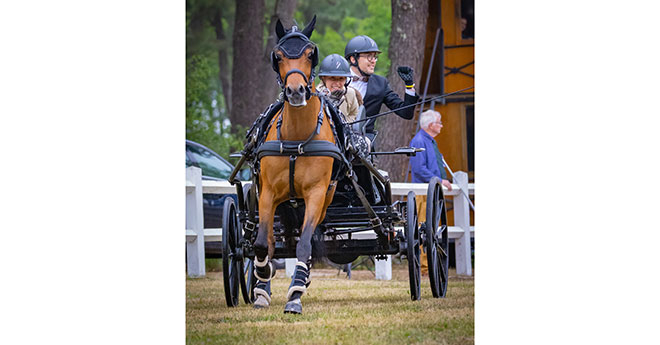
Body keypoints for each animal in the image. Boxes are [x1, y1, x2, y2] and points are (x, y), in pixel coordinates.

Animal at [250, 15, 338, 312]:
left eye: (311, 53)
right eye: (277, 56)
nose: (296, 91)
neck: (296, 139)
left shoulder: (316, 194)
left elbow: (304, 244)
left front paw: (296, 293)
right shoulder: (267, 193)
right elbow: (262, 244)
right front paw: (263, 277)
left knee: (304, 239)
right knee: (268, 241)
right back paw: (262, 288)